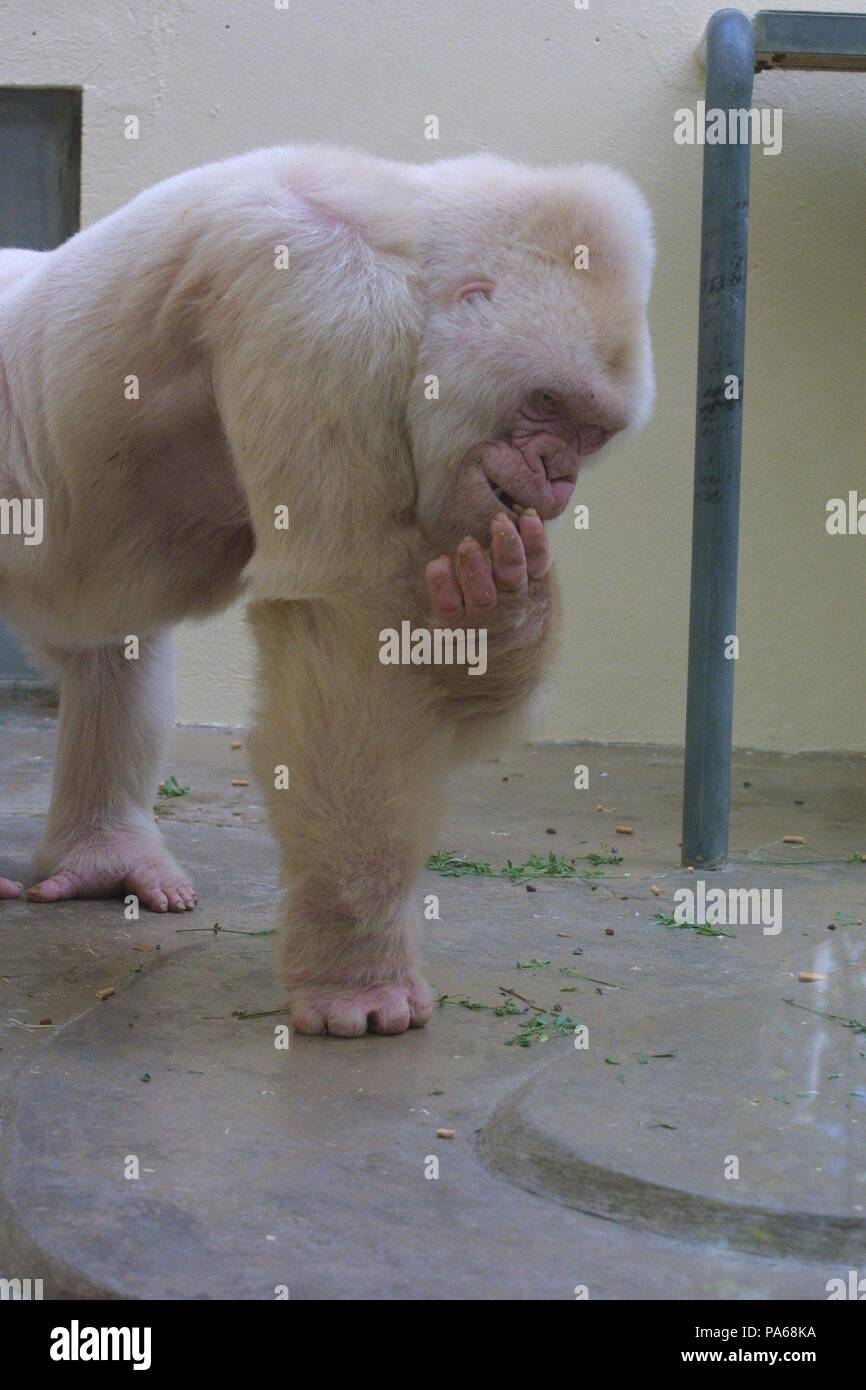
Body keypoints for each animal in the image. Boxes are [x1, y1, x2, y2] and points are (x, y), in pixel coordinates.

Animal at [0, 146, 653, 1039]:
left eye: (592, 431)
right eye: (545, 402)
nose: (557, 476)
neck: (410, 253)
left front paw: (503, 611)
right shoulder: (324, 303)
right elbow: (347, 625)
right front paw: (357, 970)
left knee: (112, 658)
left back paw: (102, 855)